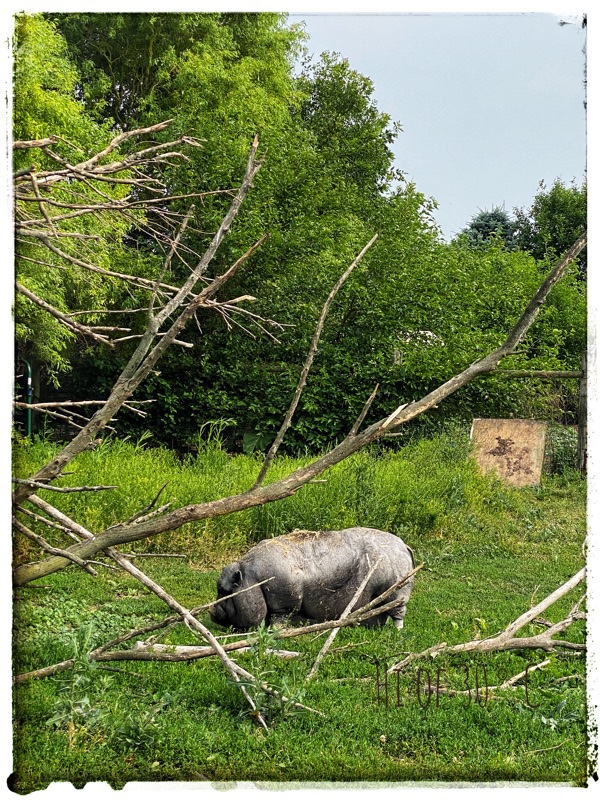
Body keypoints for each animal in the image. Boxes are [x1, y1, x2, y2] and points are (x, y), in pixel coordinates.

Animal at [209, 527, 415, 631]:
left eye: (225, 591)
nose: (210, 611)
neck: (255, 579)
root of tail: (403, 545)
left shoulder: (284, 602)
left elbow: (278, 618)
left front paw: (275, 632)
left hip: (397, 591)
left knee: (398, 614)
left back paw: (398, 633)